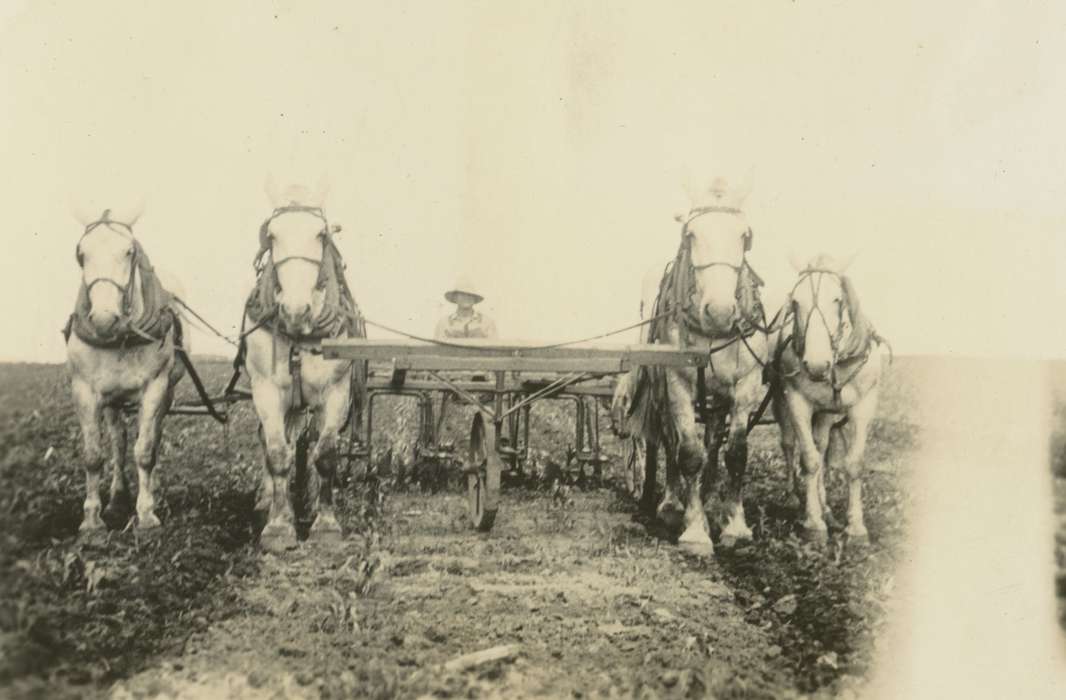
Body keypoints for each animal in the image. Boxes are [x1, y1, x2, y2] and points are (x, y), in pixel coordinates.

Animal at [64, 202, 186, 534]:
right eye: (81, 253)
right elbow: (95, 454)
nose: (105, 319)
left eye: (129, 251)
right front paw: (92, 518)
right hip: (112, 400)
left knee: (152, 437)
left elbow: (145, 450)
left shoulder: (156, 387)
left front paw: (146, 514)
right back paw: (117, 497)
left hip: (167, 390)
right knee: (118, 441)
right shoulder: (84, 391)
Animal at [240, 175, 364, 549]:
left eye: (321, 234)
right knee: (272, 442)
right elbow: (278, 453)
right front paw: (279, 526)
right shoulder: (266, 391)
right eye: (272, 235)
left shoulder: (336, 392)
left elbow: (324, 455)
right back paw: (267, 499)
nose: (295, 311)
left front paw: (325, 524)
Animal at [771, 253, 886, 543]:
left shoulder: (863, 405)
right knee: (789, 444)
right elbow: (809, 461)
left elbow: (853, 463)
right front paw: (813, 524)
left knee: (822, 445)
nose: (815, 365)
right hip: (782, 401)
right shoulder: (796, 401)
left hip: (826, 413)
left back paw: (825, 507)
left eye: (837, 299)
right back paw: (793, 496)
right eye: (795, 301)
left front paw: (855, 527)